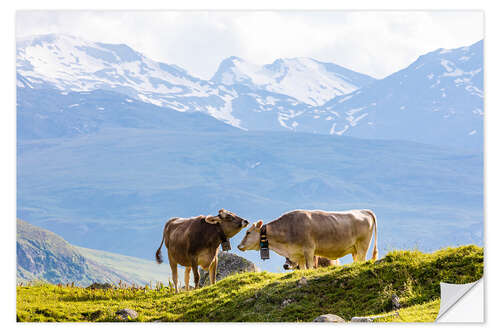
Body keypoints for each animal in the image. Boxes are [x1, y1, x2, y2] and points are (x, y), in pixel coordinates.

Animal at [236, 209, 376, 268]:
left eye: (248, 232)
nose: (239, 246)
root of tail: (363, 210)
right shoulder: (299, 254)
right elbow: (302, 269)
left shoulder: (309, 250)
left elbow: (310, 267)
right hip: (354, 250)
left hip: (363, 245)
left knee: (362, 259)